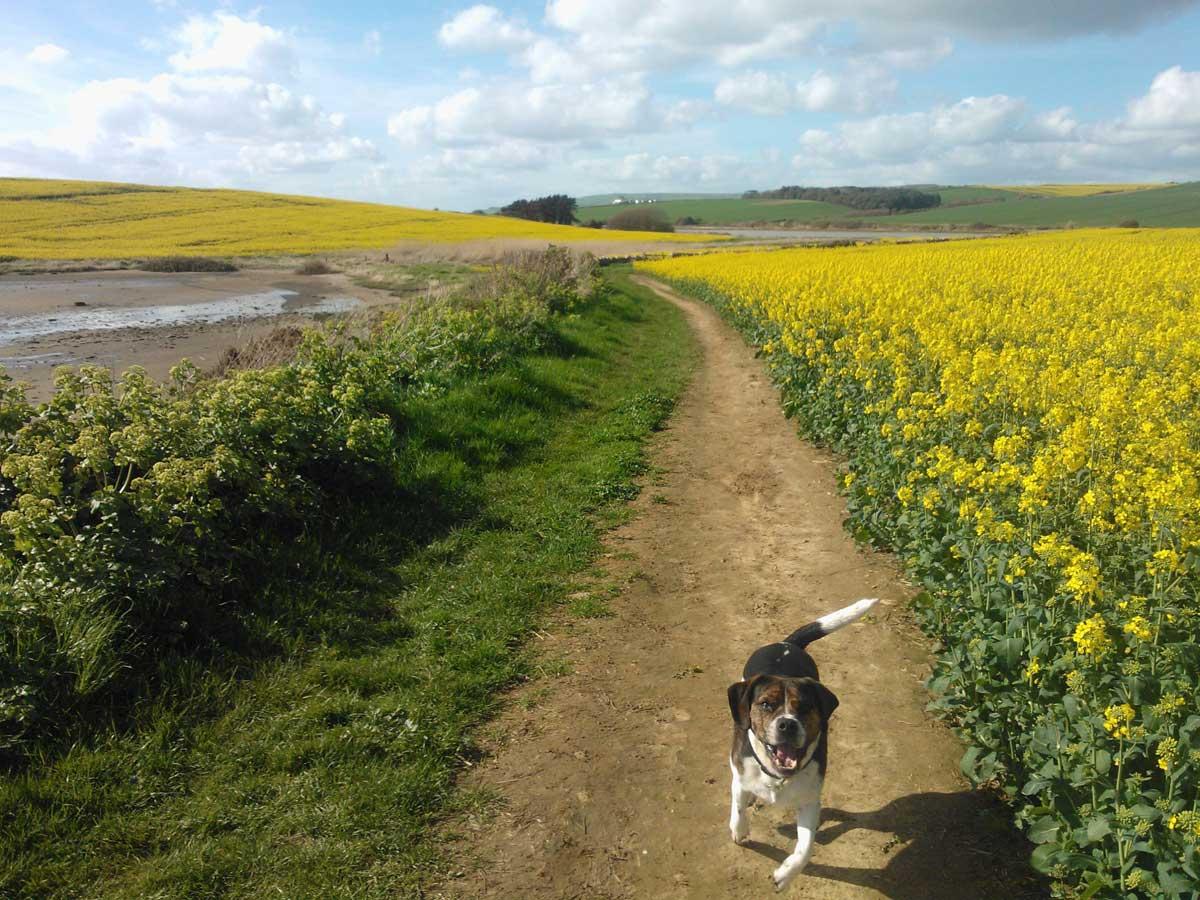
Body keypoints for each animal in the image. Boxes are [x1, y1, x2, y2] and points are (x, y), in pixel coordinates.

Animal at [724, 602, 878, 892]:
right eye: (766, 704)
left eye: (805, 707)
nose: (787, 724)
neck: (777, 777)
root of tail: (787, 643)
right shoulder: (739, 771)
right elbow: (738, 806)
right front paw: (739, 830)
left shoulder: (809, 800)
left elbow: (806, 848)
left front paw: (785, 876)